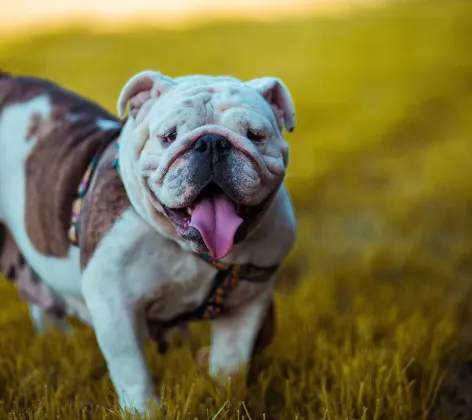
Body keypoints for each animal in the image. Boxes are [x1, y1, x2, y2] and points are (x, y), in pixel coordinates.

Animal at [0, 69, 296, 414]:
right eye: (169, 136)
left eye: (254, 135)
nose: (212, 141)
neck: (187, 248)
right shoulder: (115, 308)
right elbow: (134, 374)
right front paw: (146, 412)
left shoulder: (247, 304)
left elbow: (230, 364)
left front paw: (229, 401)